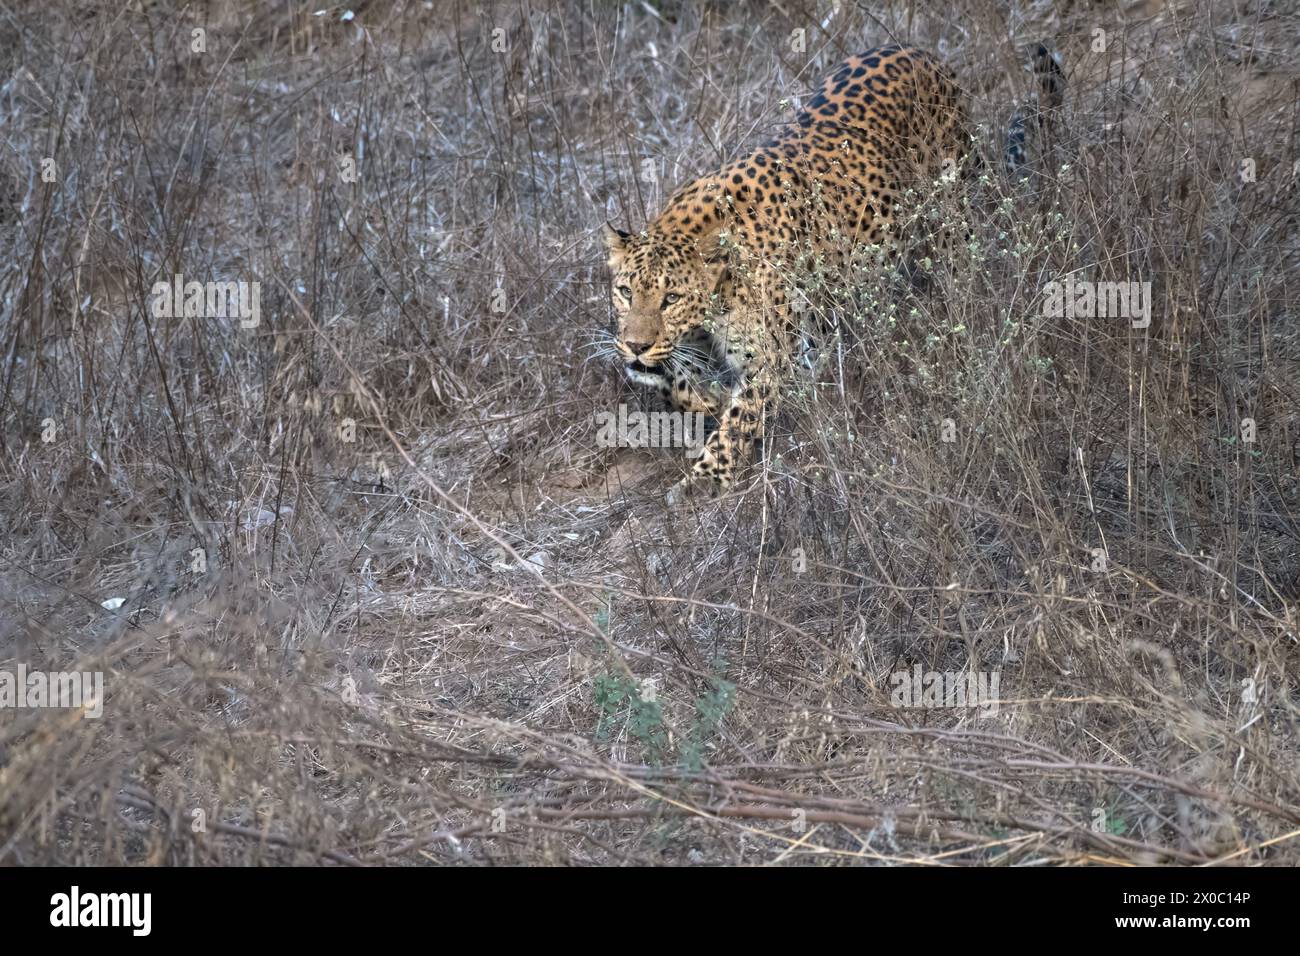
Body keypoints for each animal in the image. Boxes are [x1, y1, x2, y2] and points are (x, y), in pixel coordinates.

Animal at [603, 42, 1060, 494]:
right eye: (626, 292)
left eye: (671, 298)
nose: (635, 345)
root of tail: (919, 52)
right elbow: (679, 386)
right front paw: (705, 397)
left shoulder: (768, 359)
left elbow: (741, 418)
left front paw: (708, 479)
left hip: (950, 206)